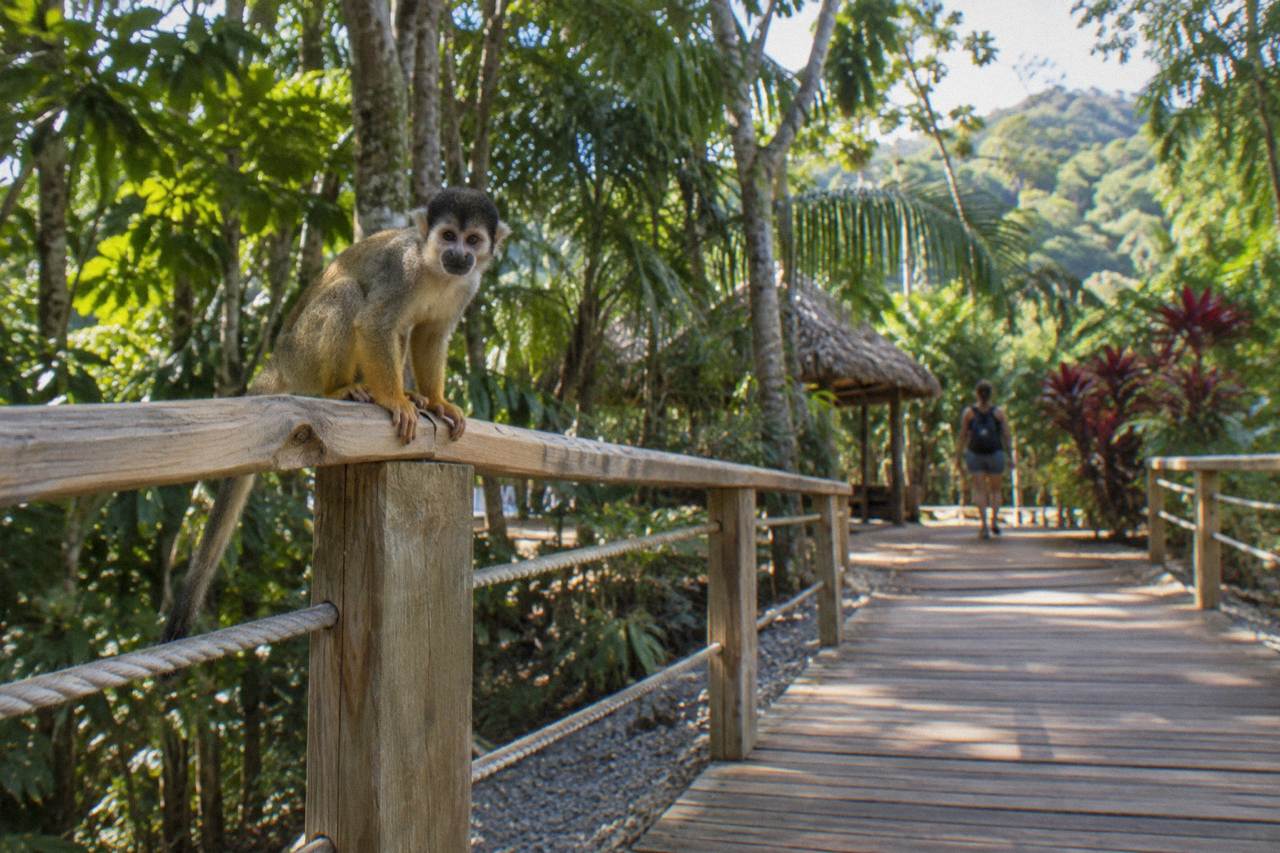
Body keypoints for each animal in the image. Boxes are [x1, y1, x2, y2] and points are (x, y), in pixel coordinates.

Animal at [162, 187, 509, 642]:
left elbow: (430, 335)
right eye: (448, 235)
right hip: (302, 355)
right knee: (349, 294)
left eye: (472, 241)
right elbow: (374, 323)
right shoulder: (403, 271)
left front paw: (436, 401)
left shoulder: (467, 285)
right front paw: (394, 401)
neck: (434, 268)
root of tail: (278, 358)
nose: (458, 255)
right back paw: (344, 389)